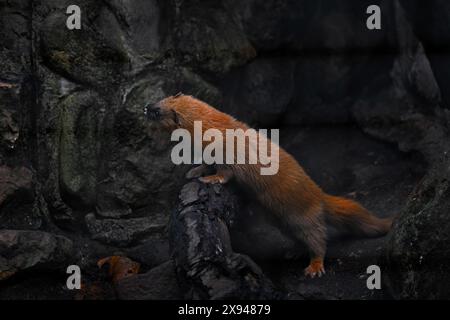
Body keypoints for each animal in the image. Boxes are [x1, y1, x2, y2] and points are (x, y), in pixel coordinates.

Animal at [146, 93, 392, 278]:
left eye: (157, 111)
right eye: (160, 99)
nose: (146, 106)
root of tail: (319, 195)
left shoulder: (228, 154)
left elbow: (226, 172)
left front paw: (211, 179)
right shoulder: (210, 153)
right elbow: (207, 164)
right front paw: (195, 171)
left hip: (304, 217)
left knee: (319, 239)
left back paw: (314, 266)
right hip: (283, 221)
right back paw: (294, 253)